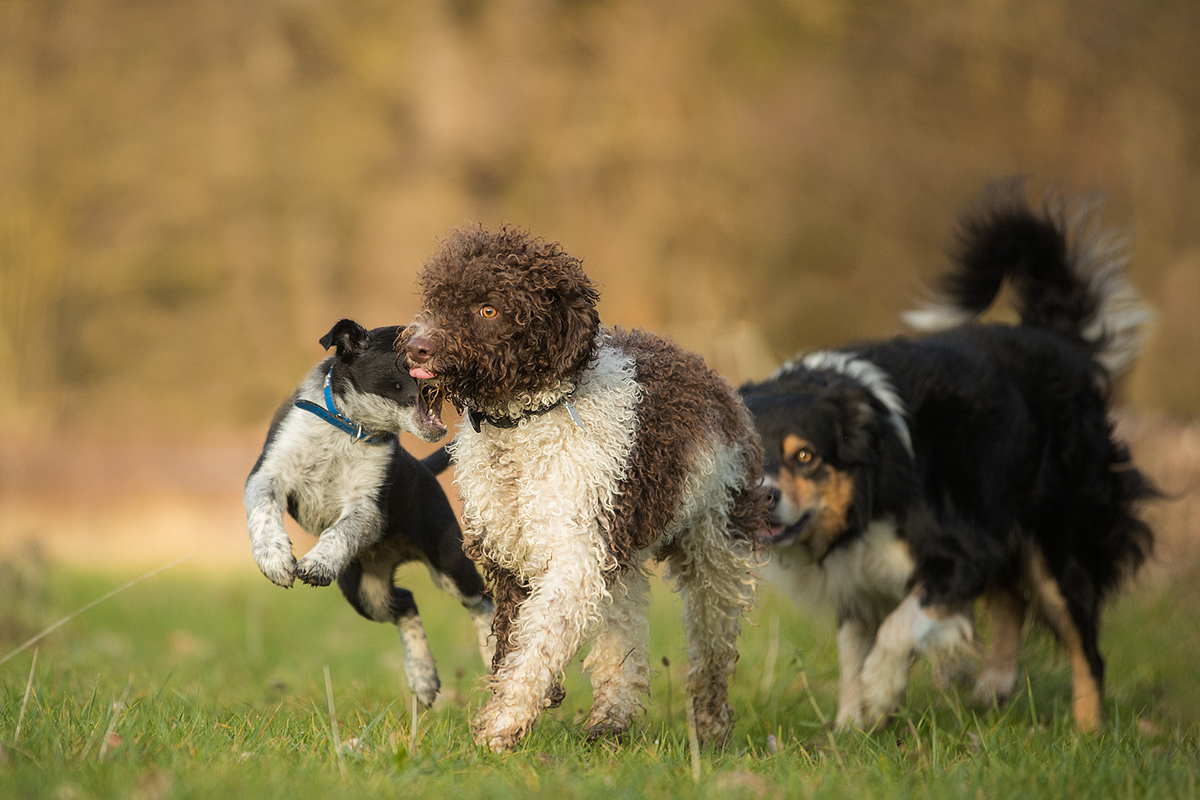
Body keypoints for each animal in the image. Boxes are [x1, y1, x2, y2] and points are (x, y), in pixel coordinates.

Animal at [243, 319, 492, 705]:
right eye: (413, 347)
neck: (347, 426)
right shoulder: (267, 476)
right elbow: (264, 513)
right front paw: (275, 561)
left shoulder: (367, 507)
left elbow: (340, 531)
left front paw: (317, 563)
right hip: (364, 590)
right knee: (406, 604)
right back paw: (423, 677)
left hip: (449, 560)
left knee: (481, 601)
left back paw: (491, 657)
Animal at [398, 227, 763, 753]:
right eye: (438, 299)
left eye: (489, 309)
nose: (418, 347)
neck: (523, 424)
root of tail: (708, 374)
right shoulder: (509, 554)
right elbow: (514, 640)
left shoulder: (575, 554)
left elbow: (540, 640)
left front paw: (503, 724)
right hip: (622, 558)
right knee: (623, 644)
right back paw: (610, 722)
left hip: (715, 550)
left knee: (711, 651)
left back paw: (712, 729)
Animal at [734, 188, 1156, 734]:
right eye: (747, 456)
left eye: (805, 456)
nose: (765, 497)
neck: (875, 478)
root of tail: (1058, 340)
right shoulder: (859, 581)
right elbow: (851, 651)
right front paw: (851, 727)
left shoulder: (955, 552)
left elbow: (896, 629)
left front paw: (881, 690)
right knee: (1011, 599)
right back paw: (995, 684)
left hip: (1061, 537)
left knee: (1083, 643)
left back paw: (1086, 733)